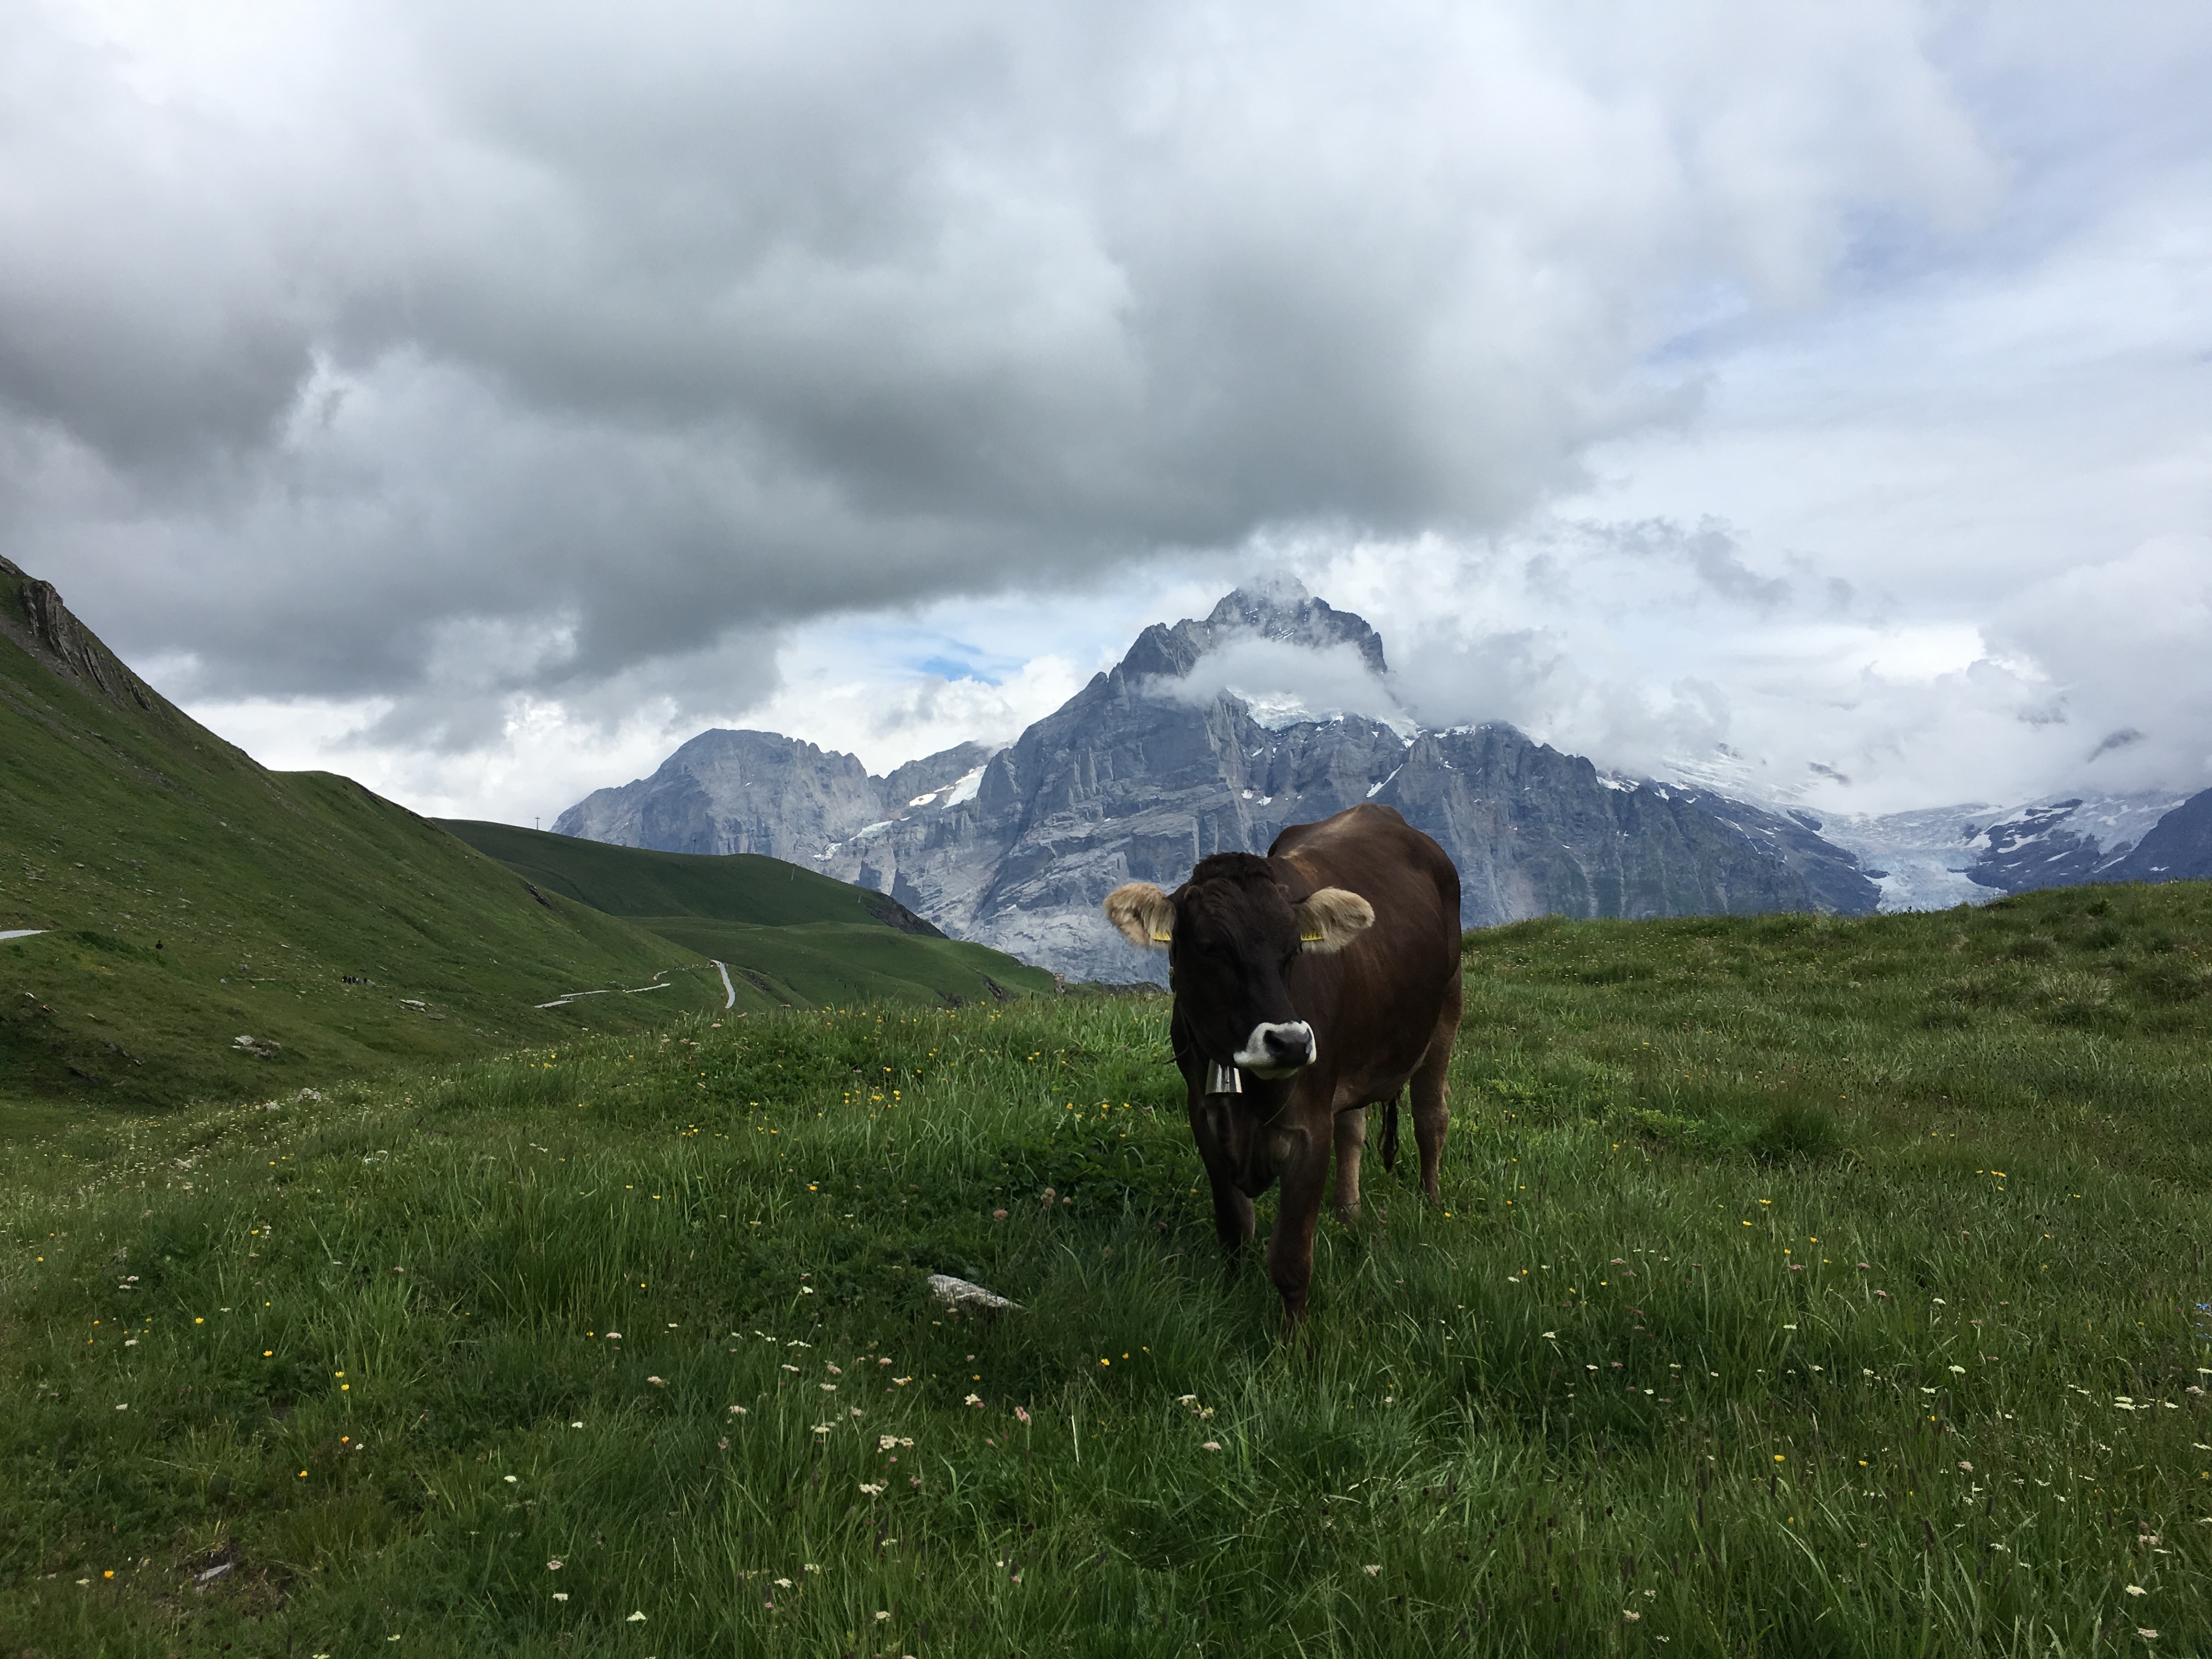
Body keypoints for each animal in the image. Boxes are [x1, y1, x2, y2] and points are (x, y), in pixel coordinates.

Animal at [1097, 800, 1460, 1336]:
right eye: (1210, 946)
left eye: (1293, 949)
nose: (1289, 1043)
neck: (1245, 1090)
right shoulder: (1204, 1118)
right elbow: (1235, 1229)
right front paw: (1230, 1299)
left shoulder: (1309, 1128)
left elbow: (1290, 1258)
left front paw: (1294, 1344)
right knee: (1353, 1127)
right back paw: (1347, 1215)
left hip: (1448, 1006)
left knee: (1431, 1116)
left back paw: (1432, 1205)